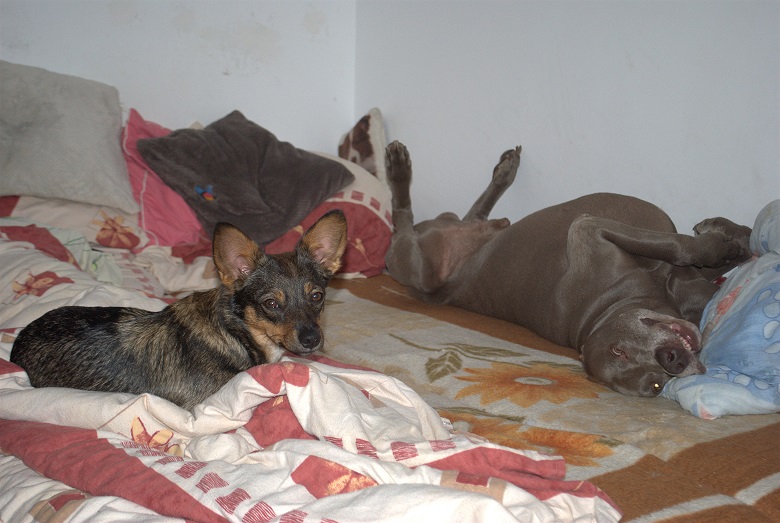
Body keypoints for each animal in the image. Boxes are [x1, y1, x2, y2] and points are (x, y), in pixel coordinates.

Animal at [384, 141, 752, 396]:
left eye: (620, 347)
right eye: (656, 387)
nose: (672, 359)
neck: (608, 306)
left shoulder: (588, 230)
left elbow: (685, 248)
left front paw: (728, 241)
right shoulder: (592, 233)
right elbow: (684, 248)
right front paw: (727, 244)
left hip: (467, 231)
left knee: (474, 213)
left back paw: (504, 171)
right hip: (412, 264)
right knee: (401, 219)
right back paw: (398, 169)